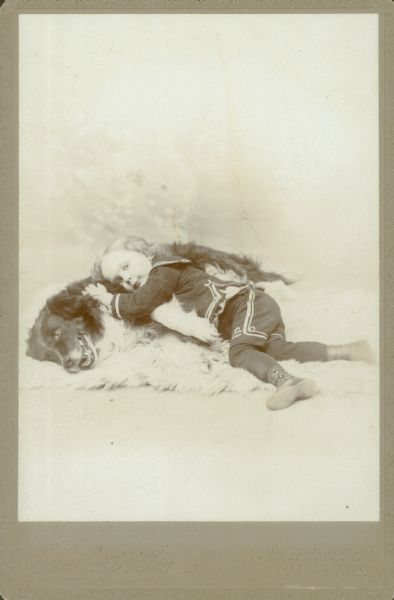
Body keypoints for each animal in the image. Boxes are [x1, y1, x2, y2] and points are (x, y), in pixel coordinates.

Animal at [25, 238, 290, 370]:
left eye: (57, 332)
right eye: (49, 357)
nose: (68, 364)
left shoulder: (145, 288)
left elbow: (154, 306)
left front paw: (200, 331)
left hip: (215, 262)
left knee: (254, 277)